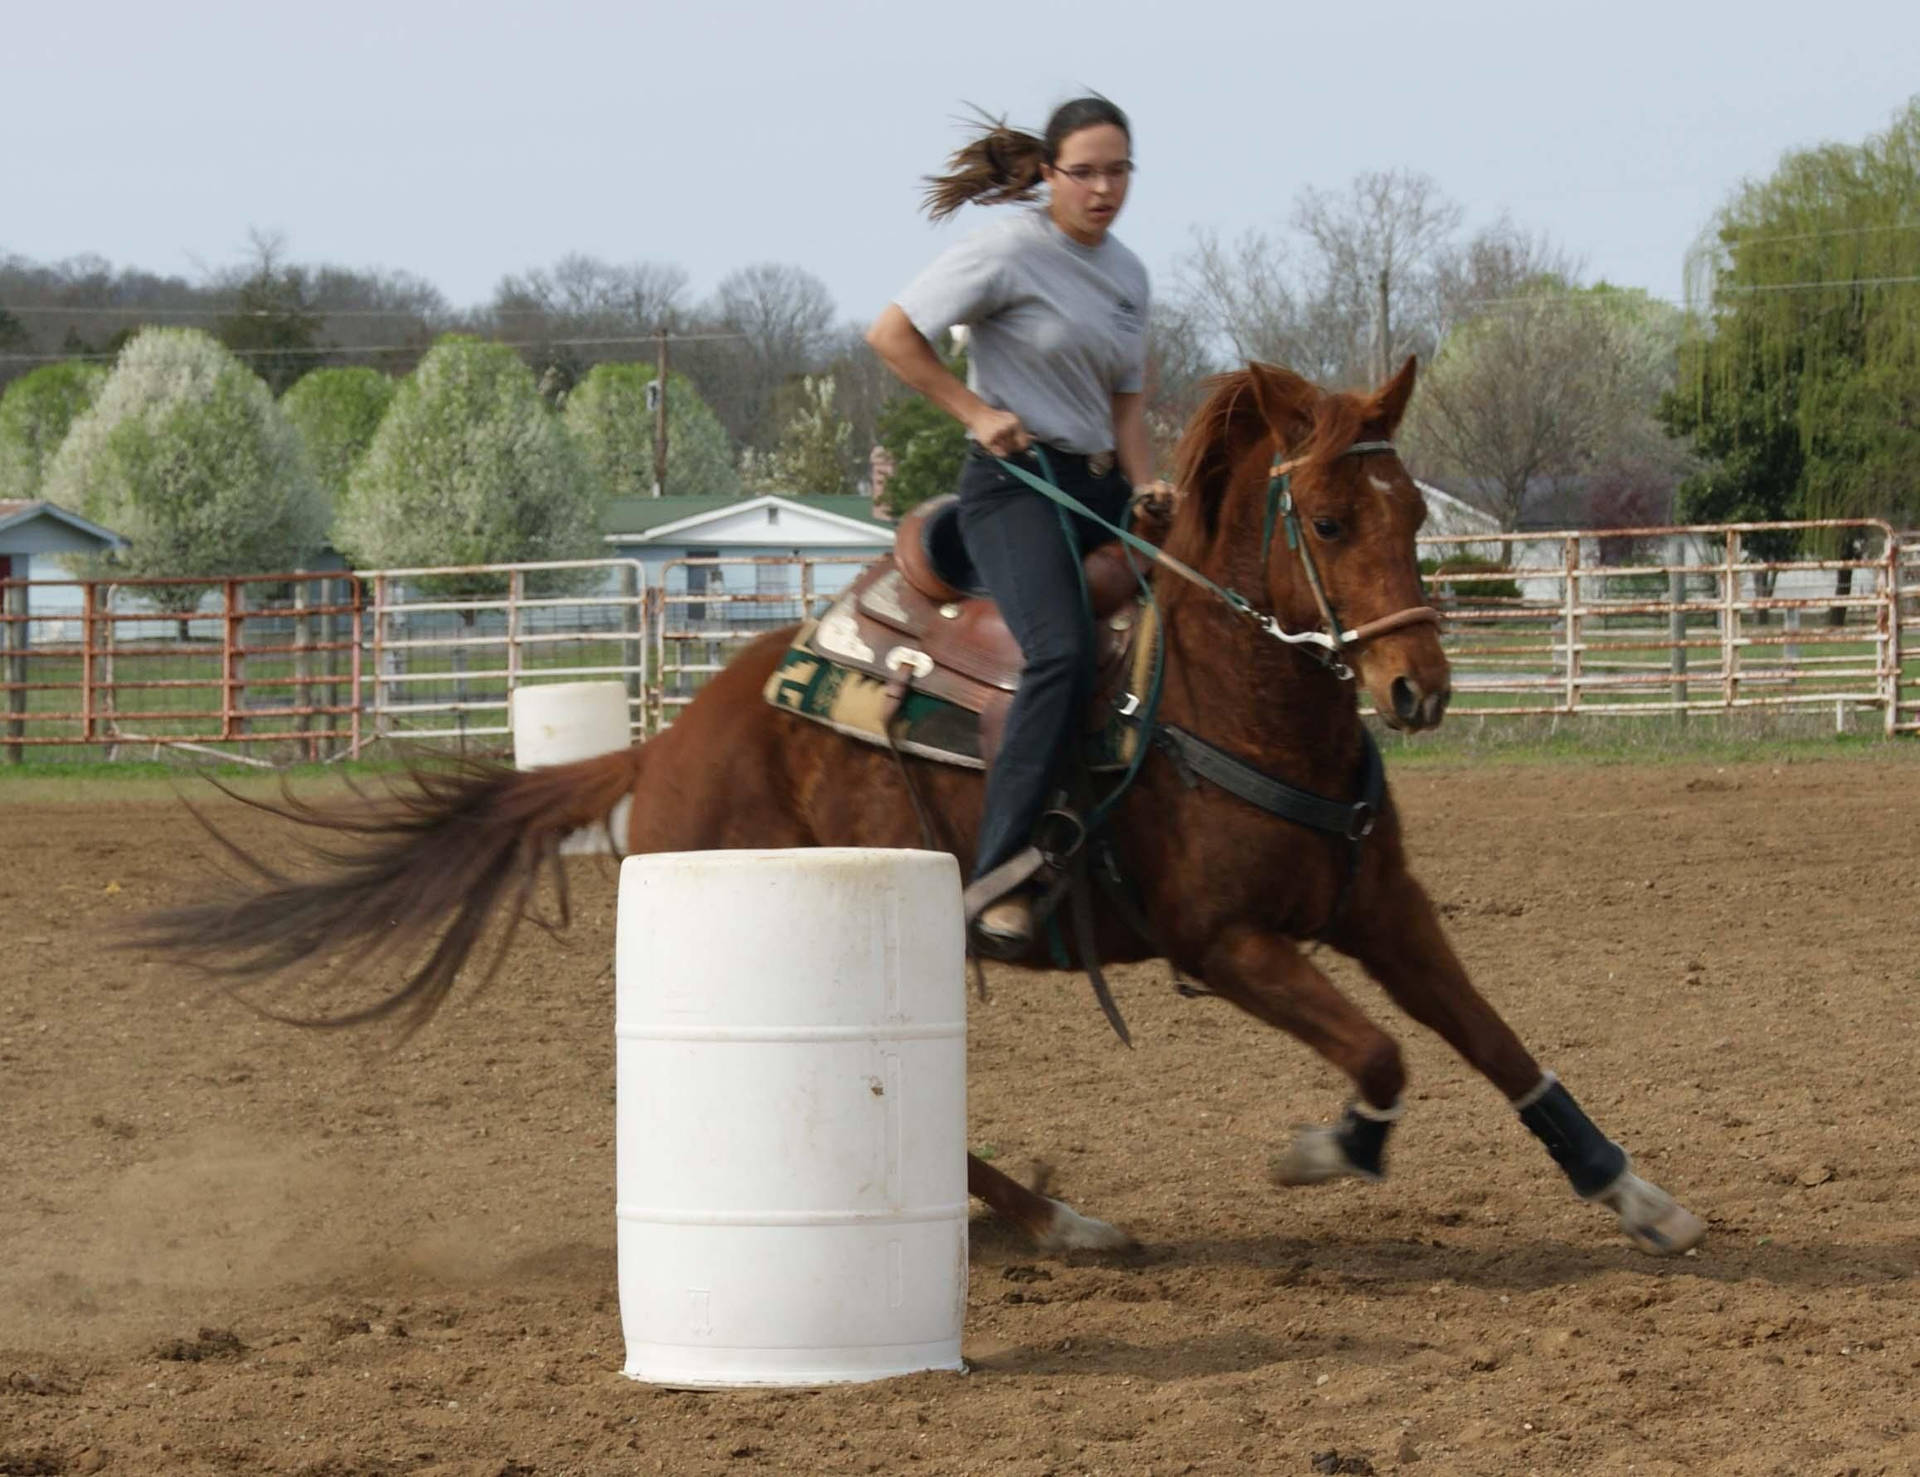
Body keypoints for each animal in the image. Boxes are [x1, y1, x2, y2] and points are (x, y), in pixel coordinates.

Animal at [153, 357, 1712, 1259]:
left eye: (1418, 516)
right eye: (1328, 522)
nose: (1418, 687)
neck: (1228, 695)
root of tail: (670, 745)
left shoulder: (1383, 906)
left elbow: (1497, 1041)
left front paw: (1636, 1194)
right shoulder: (1223, 946)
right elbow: (1382, 1051)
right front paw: (1333, 1146)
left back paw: (1053, 1217)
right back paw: (1061, 1218)